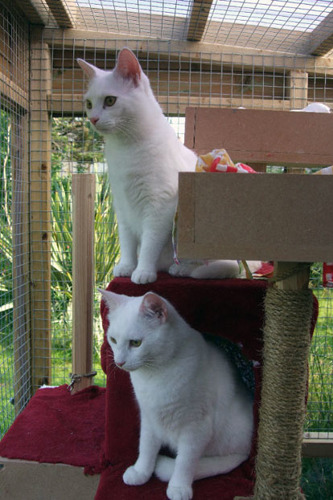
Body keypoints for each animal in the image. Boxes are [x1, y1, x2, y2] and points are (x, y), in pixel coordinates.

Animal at [78, 51, 260, 286]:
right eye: (89, 103)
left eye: (110, 100)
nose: (93, 119)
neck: (125, 149)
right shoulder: (122, 207)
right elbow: (127, 243)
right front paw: (126, 266)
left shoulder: (159, 206)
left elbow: (149, 244)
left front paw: (143, 271)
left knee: (226, 266)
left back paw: (182, 269)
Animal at [100, 288, 253, 500]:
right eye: (113, 340)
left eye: (136, 343)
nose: (119, 362)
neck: (154, 376)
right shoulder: (149, 418)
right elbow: (146, 447)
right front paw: (141, 472)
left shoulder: (195, 428)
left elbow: (185, 462)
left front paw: (179, 487)